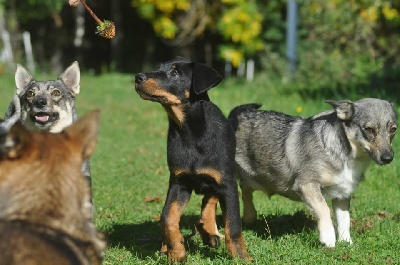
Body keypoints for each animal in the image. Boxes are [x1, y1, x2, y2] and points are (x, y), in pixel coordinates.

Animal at [136, 56, 252, 260]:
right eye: (158, 68)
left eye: (174, 73)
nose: (138, 77)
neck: (189, 131)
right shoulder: (179, 182)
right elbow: (167, 217)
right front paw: (176, 251)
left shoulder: (226, 183)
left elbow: (233, 224)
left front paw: (240, 256)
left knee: (210, 200)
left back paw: (209, 232)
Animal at [228, 98, 396, 246]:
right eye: (369, 129)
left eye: (393, 129)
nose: (388, 158)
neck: (346, 154)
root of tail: (233, 117)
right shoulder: (306, 186)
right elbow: (324, 209)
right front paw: (328, 237)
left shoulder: (342, 194)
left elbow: (344, 220)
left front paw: (346, 242)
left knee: (246, 189)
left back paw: (249, 216)